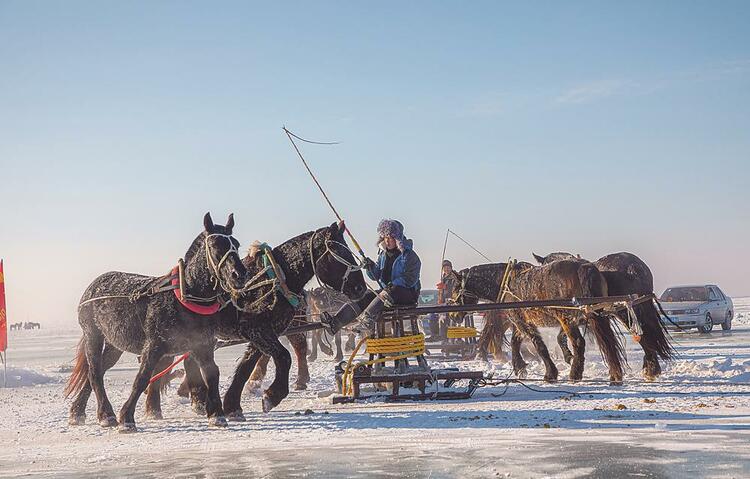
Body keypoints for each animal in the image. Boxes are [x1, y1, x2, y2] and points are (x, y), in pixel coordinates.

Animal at [65, 213, 248, 432]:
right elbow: (142, 378)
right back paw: (106, 415)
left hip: (114, 344)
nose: (239, 274)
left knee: (98, 371)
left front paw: (217, 415)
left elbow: (211, 375)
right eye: (214, 244)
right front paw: (126, 418)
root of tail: (92, 288)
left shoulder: (202, 346)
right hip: (93, 335)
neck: (185, 299)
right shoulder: (154, 346)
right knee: (94, 374)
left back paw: (78, 411)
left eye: (235, 244)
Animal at [532, 253, 680, 380]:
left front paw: (569, 357)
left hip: (625, 312)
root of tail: (632, 267)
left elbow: (561, 337)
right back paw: (651, 368)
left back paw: (650, 369)